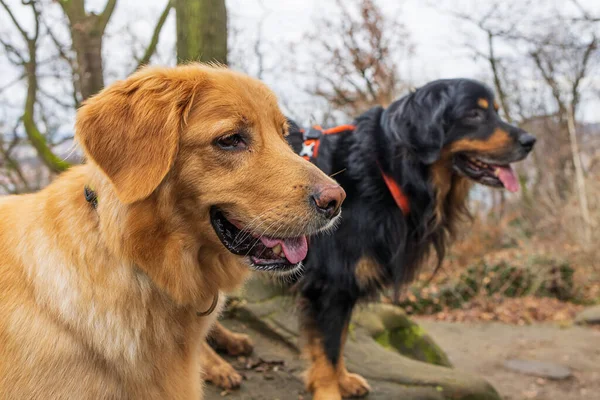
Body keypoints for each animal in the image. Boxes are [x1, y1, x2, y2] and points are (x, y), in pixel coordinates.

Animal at [207, 79, 536, 398]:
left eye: (495, 111)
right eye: (474, 114)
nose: (530, 141)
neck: (386, 172)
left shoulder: (344, 286)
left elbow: (339, 342)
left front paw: (344, 380)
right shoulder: (331, 284)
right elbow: (327, 349)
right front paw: (329, 391)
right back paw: (216, 366)